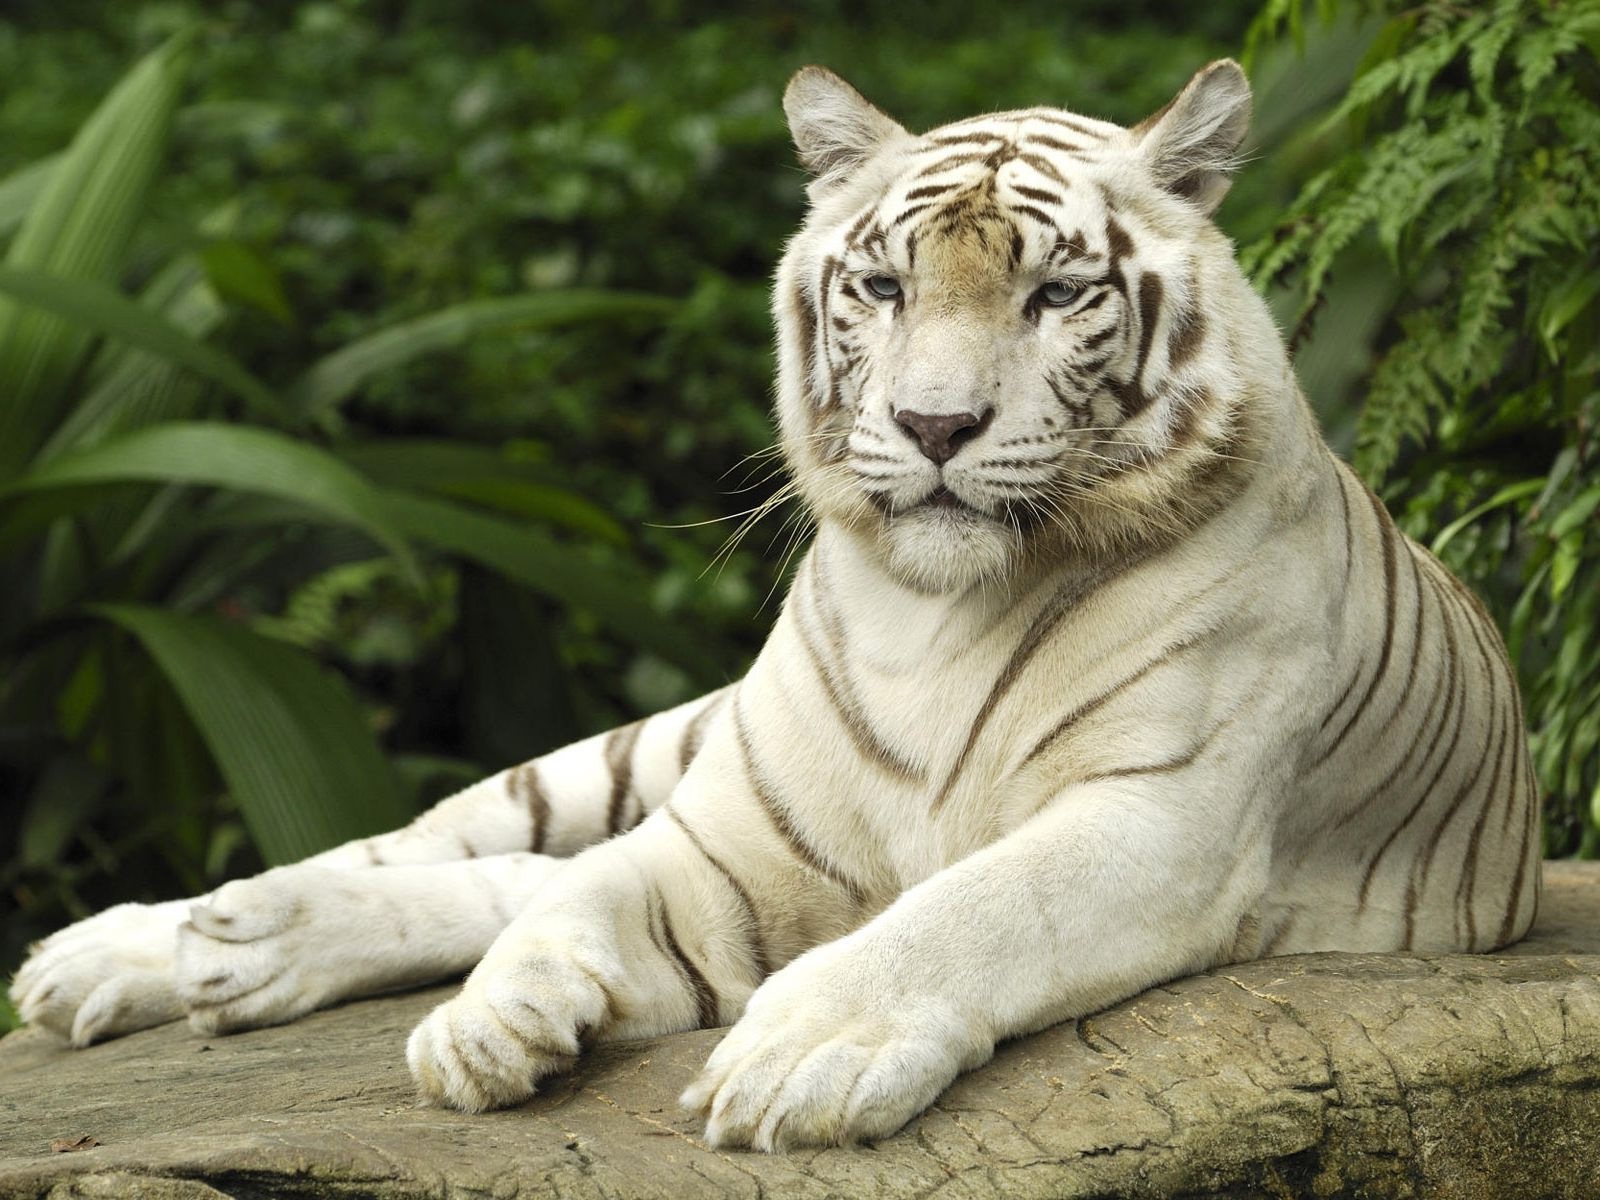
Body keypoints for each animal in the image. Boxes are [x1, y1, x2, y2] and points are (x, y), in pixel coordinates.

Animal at [11, 58, 1541, 1153]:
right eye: (882, 284)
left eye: (1056, 295)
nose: (934, 425)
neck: (938, 613)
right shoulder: (733, 837)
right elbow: (581, 898)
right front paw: (492, 1025)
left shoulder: (1158, 821)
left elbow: (971, 910)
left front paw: (800, 1055)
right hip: (650, 749)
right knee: (471, 850)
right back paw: (165, 944)